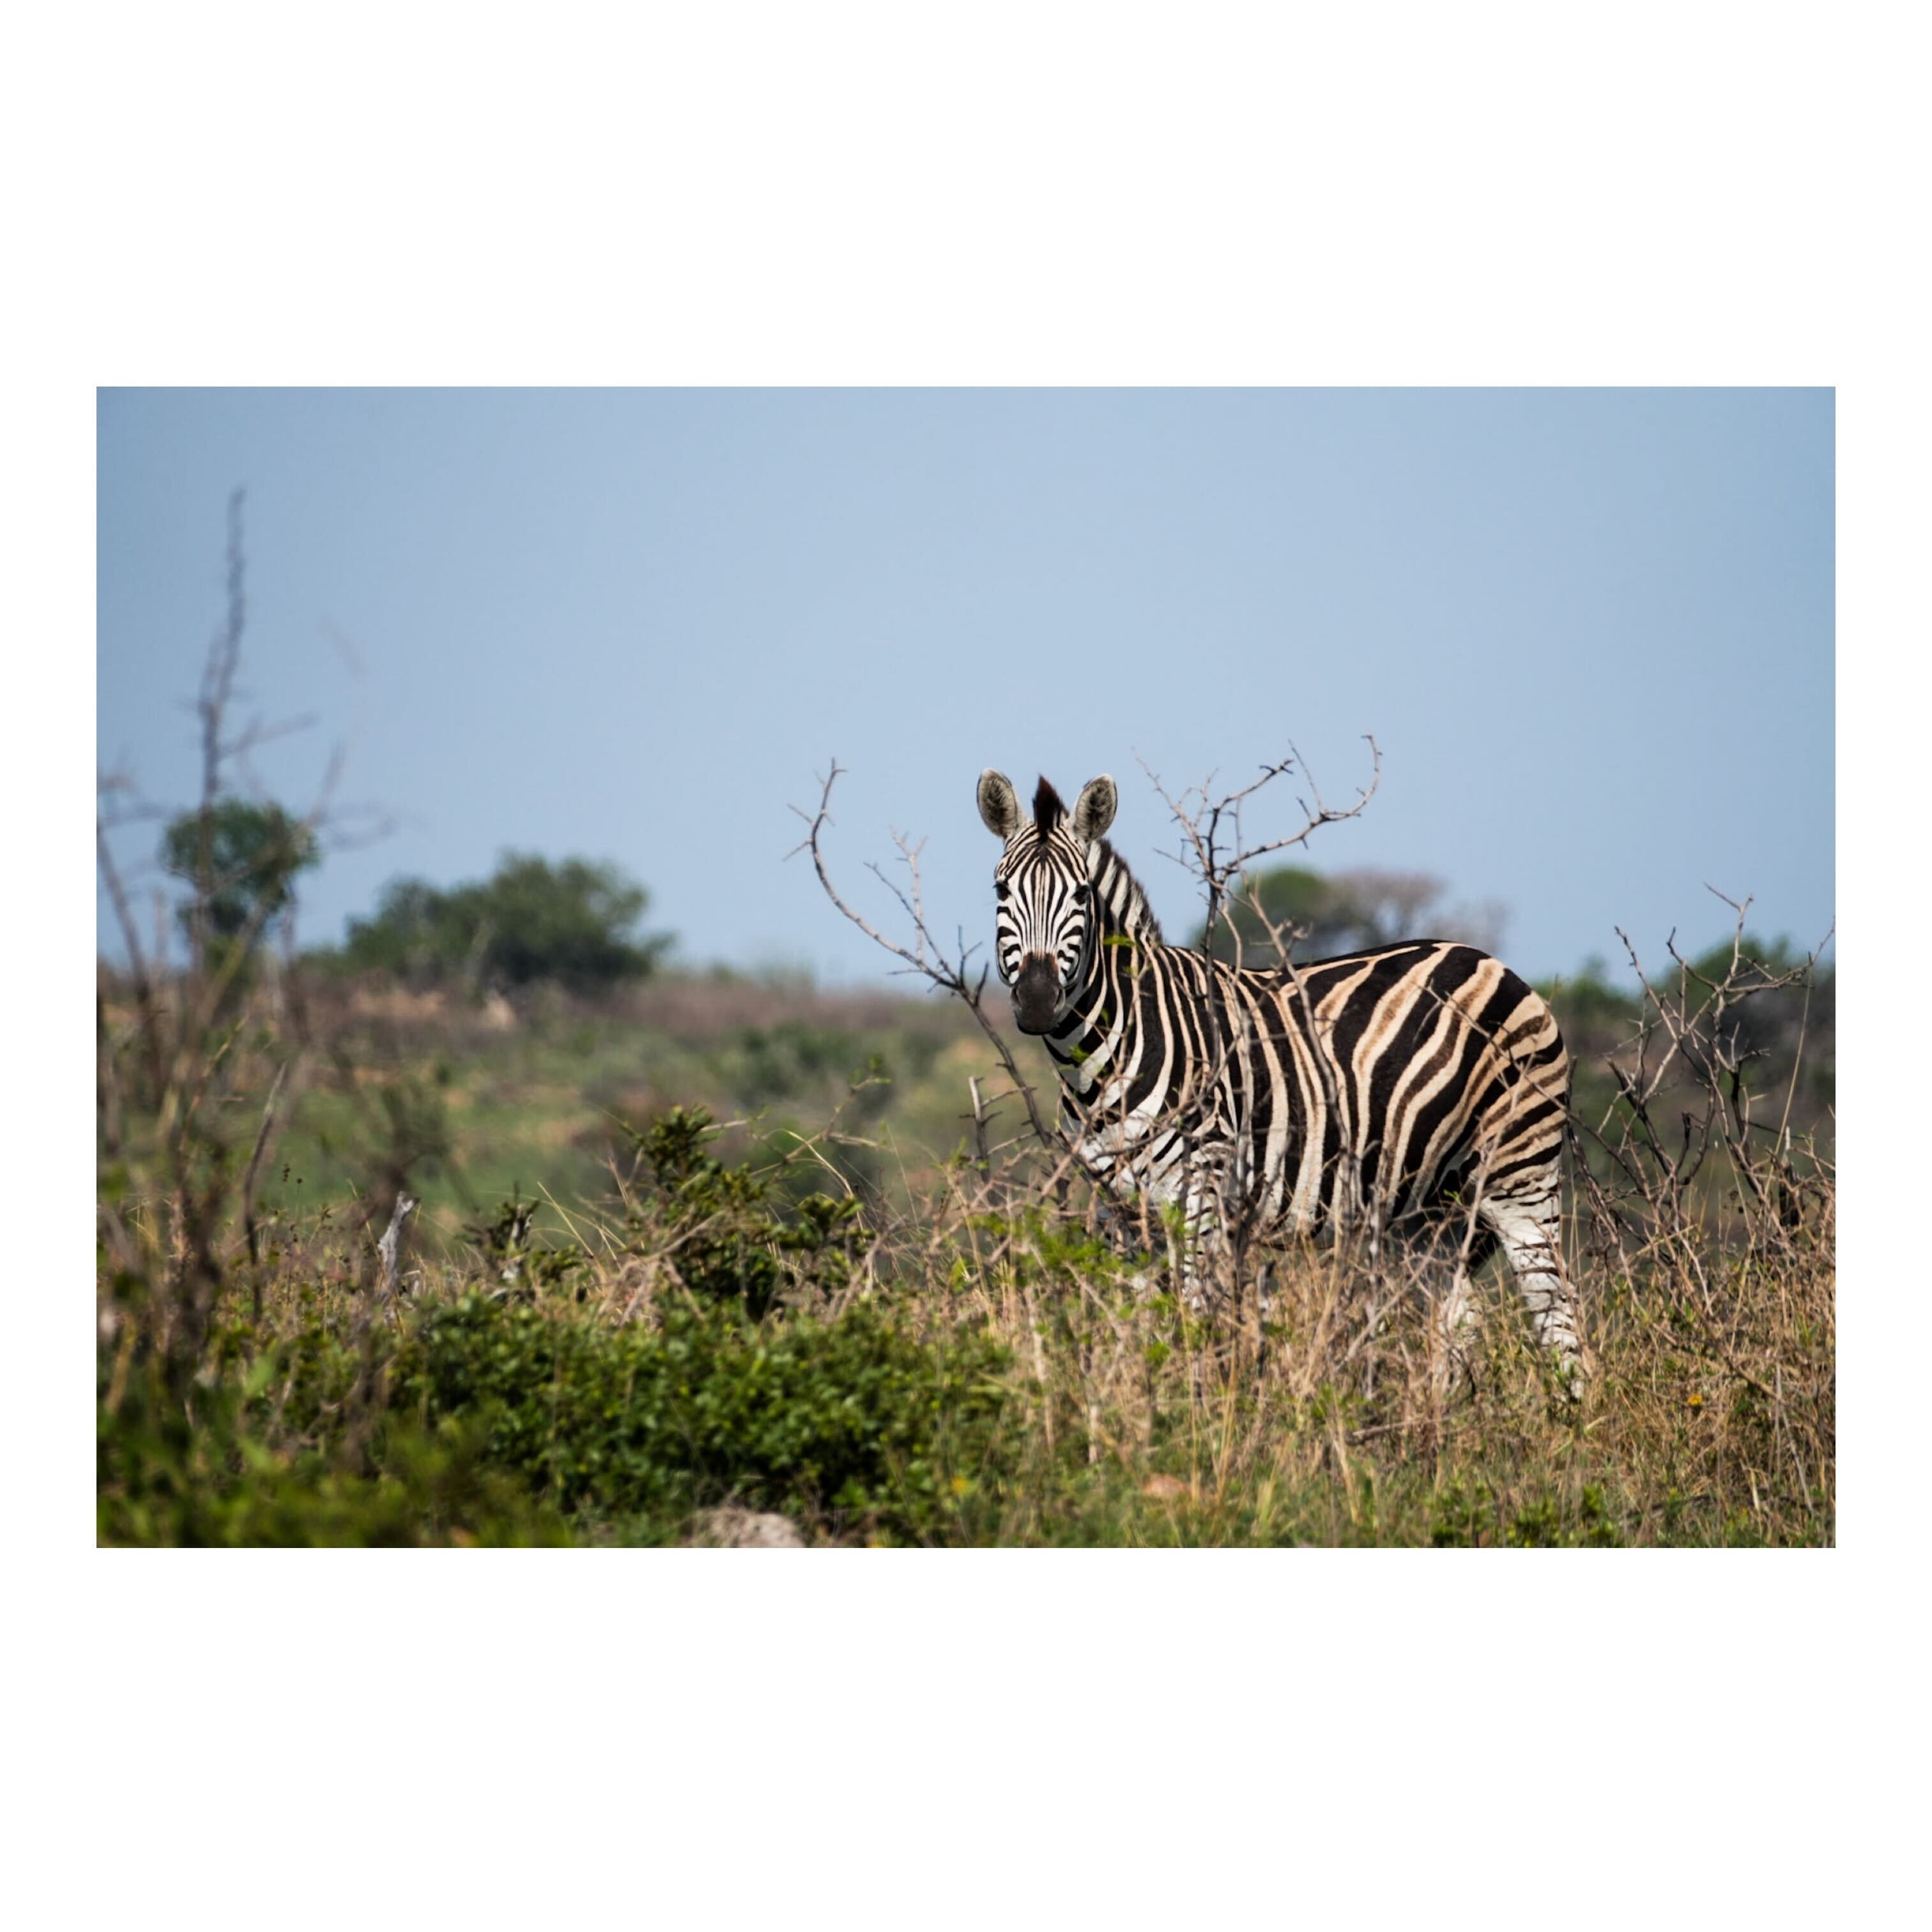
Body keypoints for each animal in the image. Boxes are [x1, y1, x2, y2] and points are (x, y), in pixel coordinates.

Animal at [976, 767, 1582, 1391]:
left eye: (1081, 896)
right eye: (1000, 893)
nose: (1038, 1002)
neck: (1108, 1055)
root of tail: (1494, 963)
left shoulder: (1202, 1189)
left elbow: (1195, 1318)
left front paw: (1195, 1408)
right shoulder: (1119, 1209)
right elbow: (1132, 1330)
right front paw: (1136, 1407)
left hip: (1519, 1175)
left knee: (1556, 1312)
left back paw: (1572, 1414)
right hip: (1434, 1212)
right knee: (1458, 1322)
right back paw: (1439, 1418)